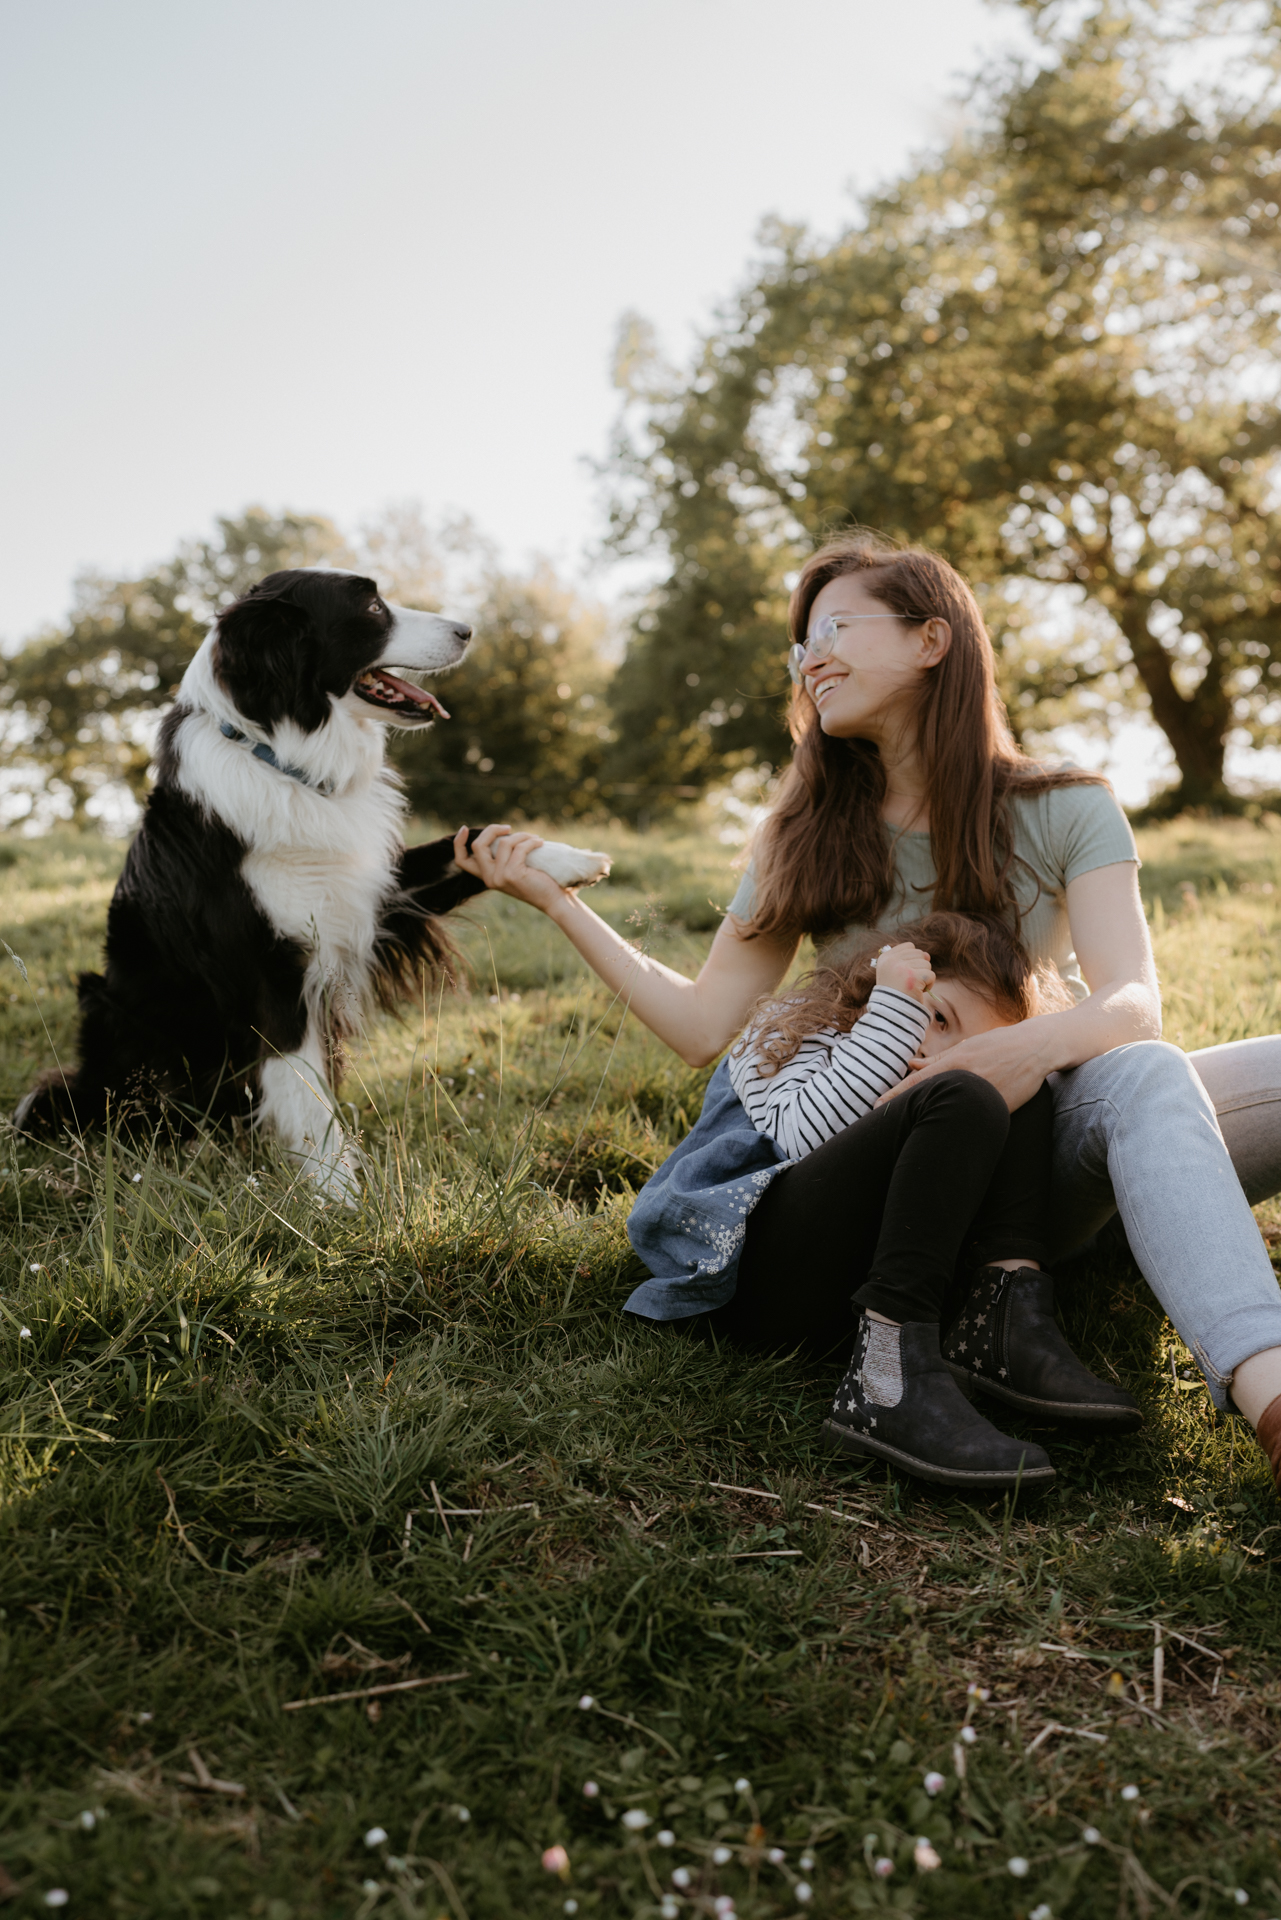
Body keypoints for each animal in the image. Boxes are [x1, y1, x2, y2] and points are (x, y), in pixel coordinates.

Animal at [17, 568, 610, 1190]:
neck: (285, 764)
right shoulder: (272, 971)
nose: (468, 629)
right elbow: (304, 1090)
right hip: (119, 1021)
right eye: (371, 607)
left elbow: (466, 840)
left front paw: (566, 859)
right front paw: (340, 1196)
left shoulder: (372, 889)